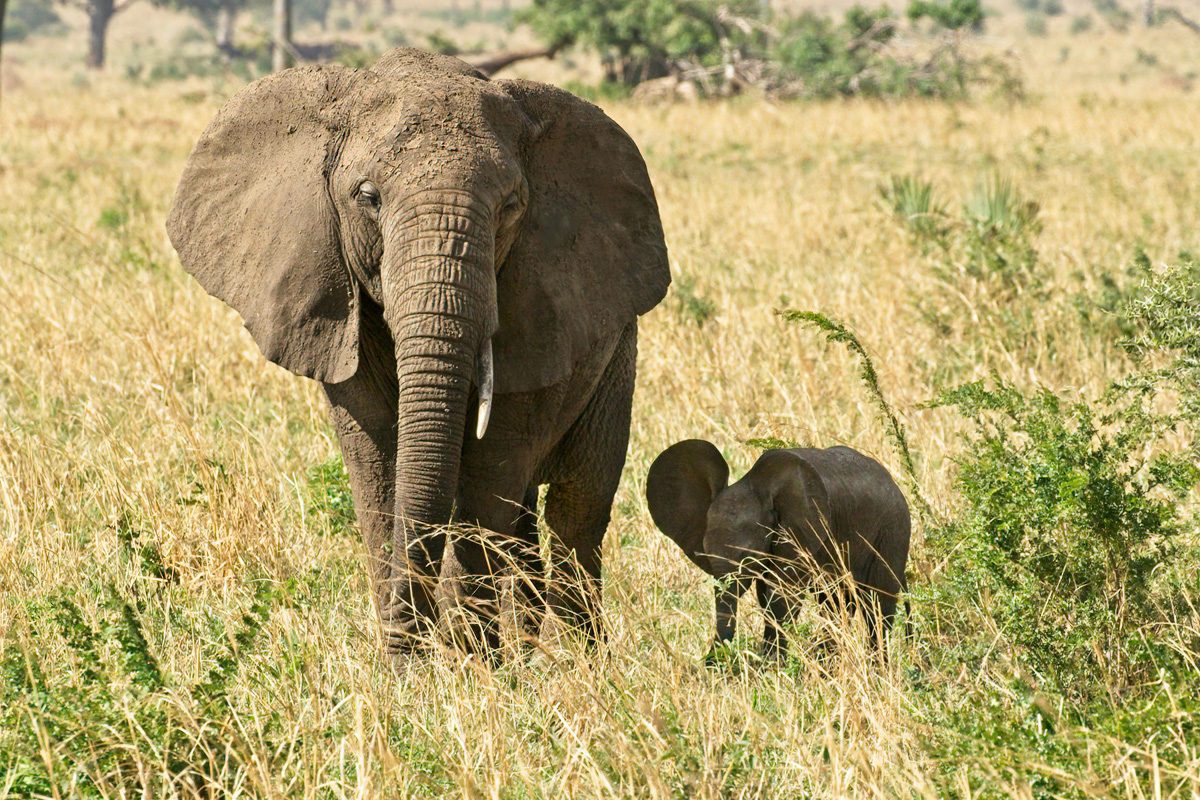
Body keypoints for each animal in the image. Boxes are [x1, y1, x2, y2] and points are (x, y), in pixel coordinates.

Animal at [169, 45, 672, 657]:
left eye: (511, 206)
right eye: (367, 198)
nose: (408, 645)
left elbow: (490, 469)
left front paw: (466, 664)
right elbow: (378, 468)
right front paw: (419, 666)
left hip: (619, 349)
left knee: (579, 503)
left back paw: (572, 661)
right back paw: (530, 652)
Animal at [648, 441, 907, 662]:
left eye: (748, 556)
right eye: (707, 554)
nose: (711, 664)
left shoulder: (800, 533)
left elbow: (782, 595)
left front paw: (771, 667)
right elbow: (767, 596)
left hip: (892, 534)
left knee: (878, 606)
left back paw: (878, 670)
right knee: (836, 602)